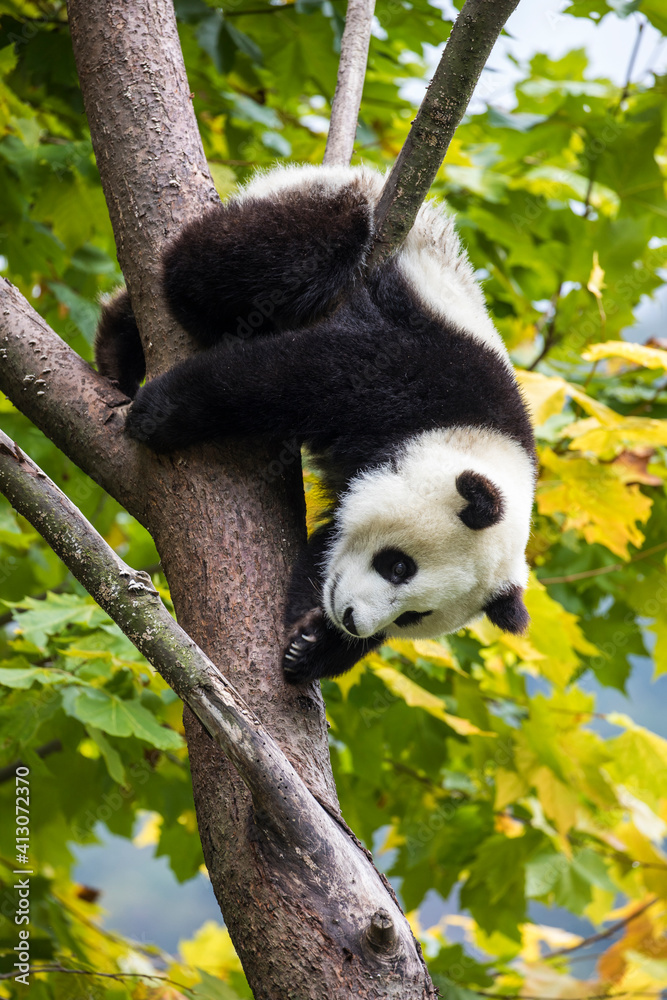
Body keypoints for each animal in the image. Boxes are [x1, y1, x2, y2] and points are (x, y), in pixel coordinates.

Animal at [95, 164, 537, 685]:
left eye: (413, 616)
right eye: (399, 567)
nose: (351, 619)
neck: (480, 436)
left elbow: (327, 540)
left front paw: (310, 645)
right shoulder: (419, 375)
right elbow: (293, 376)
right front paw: (160, 416)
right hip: (326, 210)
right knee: (254, 261)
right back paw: (124, 354)